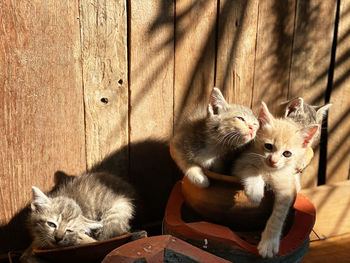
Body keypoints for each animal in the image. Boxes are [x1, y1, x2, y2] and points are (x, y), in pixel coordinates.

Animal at [231, 102, 318, 258]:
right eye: (268, 146)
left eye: (287, 153)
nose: (273, 160)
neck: (269, 171)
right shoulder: (240, 163)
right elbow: (252, 168)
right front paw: (255, 191)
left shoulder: (287, 188)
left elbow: (278, 216)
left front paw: (269, 243)